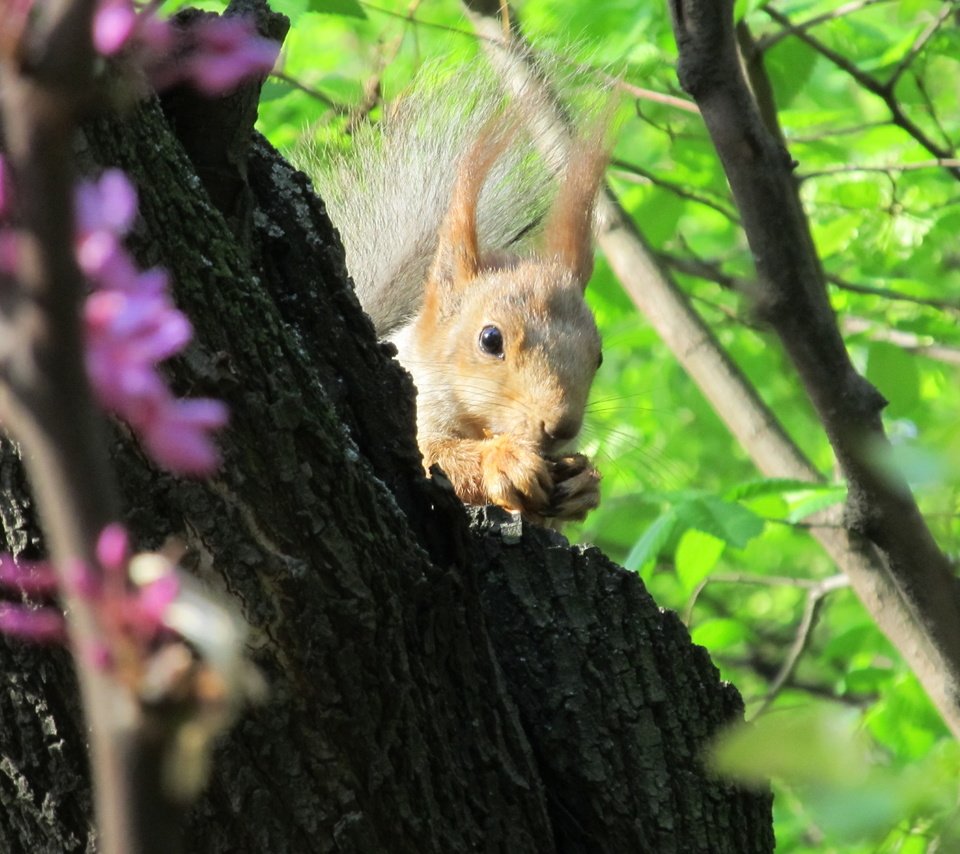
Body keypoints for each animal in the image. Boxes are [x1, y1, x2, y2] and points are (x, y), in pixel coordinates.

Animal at [308, 63, 608, 524]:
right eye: (490, 339)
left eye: (599, 357)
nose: (562, 428)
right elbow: (434, 454)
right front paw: (503, 461)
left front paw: (583, 482)